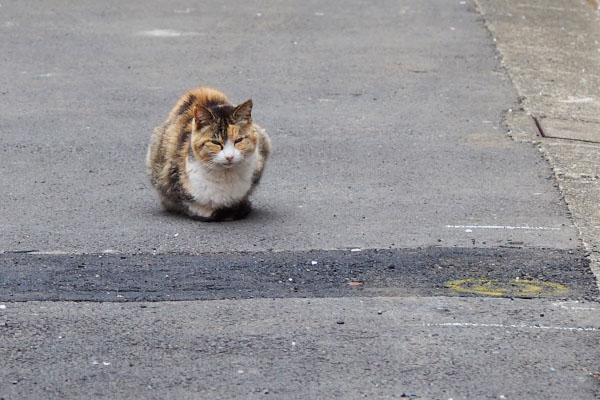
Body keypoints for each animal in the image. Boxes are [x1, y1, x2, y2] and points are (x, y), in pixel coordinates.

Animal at [145, 86, 270, 222]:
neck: (226, 176)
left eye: (239, 140)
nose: (229, 157)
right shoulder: (172, 181)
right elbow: (193, 205)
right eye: (215, 142)